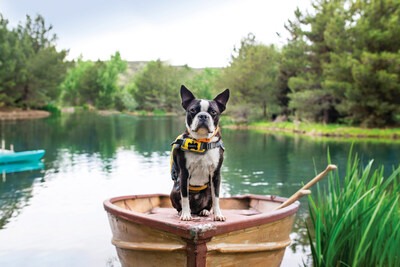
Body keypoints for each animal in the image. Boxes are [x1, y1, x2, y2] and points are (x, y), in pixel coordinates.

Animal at [170, 86, 231, 222]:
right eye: (192, 110)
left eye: (213, 112)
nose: (203, 116)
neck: (202, 142)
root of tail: (195, 209)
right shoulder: (184, 174)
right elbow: (185, 197)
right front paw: (185, 214)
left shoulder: (216, 175)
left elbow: (216, 198)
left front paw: (218, 214)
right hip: (174, 190)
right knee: (181, 201)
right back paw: (182, 211)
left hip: (208, 190)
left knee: (208, 203)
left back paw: (204, 211)